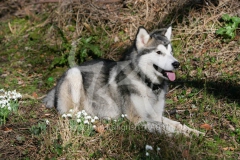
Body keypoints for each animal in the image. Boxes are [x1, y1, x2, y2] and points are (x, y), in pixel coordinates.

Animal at [43, 26, 204, 136]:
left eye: (171, 52)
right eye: (159, 52)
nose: (177, 64)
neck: (146, 82)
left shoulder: (155, 115)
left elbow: (177, 124)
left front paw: (195, 132)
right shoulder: (137, 118)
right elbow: (167, 128)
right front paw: (183, 137)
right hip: (74, 74)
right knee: (70, 114)